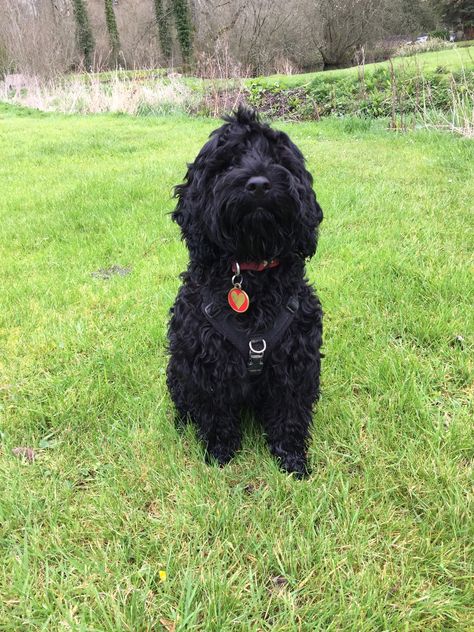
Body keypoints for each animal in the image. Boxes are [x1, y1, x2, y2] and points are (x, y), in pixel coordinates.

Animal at [166, 106, 322, 476]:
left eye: (279, 159)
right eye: (227, 162)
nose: (259, 185)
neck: (251, 271)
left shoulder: (295, 362)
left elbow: (290, 415)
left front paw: (293, 460)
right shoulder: (205, 363)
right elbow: (215, 415)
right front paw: (220, 454)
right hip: (177, 367)